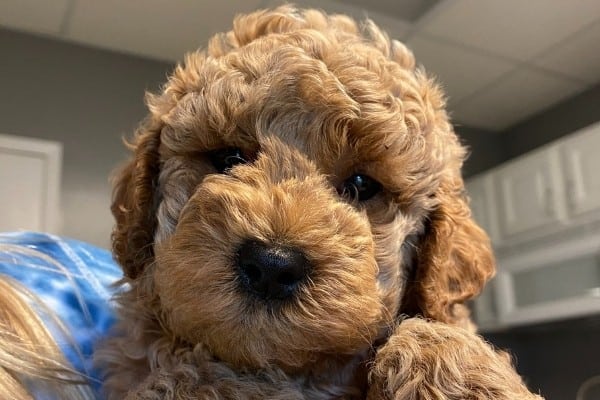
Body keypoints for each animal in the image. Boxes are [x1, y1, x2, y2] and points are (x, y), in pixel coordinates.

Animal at [97, 6, 544, 400]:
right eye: (228, 158)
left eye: (362, 184)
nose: (271, 265)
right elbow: (191, 377)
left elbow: (432, 329)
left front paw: (459, 379)